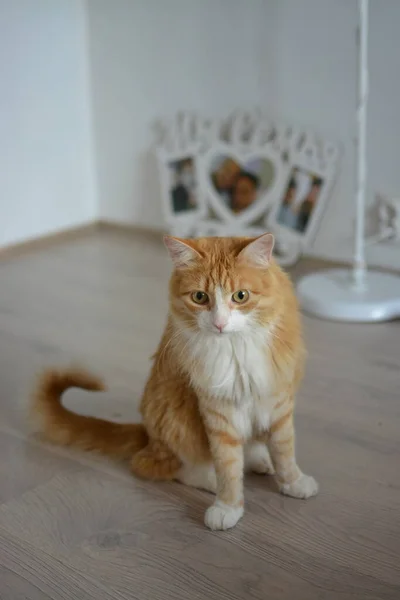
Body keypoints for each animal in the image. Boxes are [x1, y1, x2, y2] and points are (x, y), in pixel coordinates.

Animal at [32, 233, 318, 528]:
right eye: (200, 297)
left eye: (241, 296)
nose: (219, 323)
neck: (234, 349)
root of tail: (147, 434)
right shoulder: (217, 411)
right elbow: (227, 465)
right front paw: (228, 506)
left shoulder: (278, 401)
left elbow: (284, 451)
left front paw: (293, 483)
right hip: (174, 417)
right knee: (159, 466)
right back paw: (213, 480)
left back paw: (261, 461)